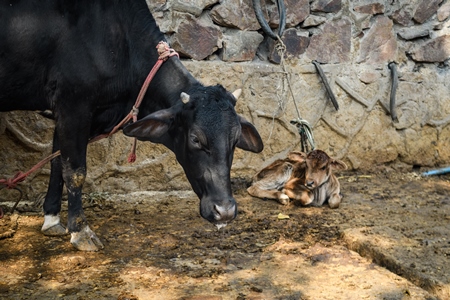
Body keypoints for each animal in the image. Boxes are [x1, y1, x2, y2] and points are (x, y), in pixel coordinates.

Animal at [0, 0, 264, 251]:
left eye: (234, 140)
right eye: (196, 139)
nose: (225, 211)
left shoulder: (68, 114)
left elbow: (57, 164)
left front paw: (52, 219)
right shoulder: (73, 106)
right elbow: (75, 171)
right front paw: (81, 231)